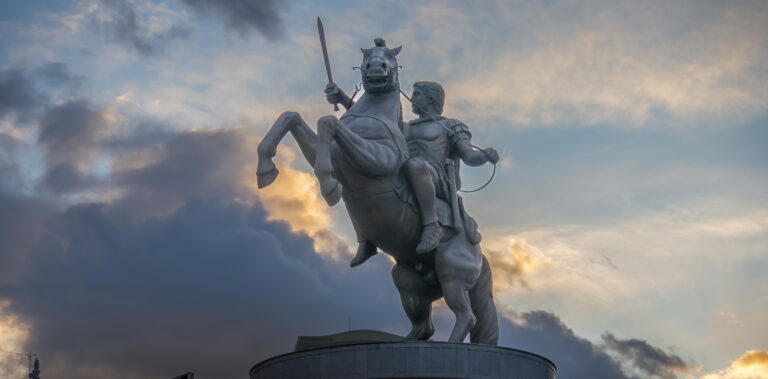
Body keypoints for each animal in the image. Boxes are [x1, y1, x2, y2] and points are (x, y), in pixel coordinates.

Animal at [256, 37, 498, 344]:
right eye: (367, 54)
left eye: (391, 57)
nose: (375, 68)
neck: (369, 116)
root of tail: (478, 251)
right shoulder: (330, 151)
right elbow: (292, 116)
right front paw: (265, 168)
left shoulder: (376, 159)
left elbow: (328, 123)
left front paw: (328, 186)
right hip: (408, 280)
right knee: (425, 326)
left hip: (452, 274)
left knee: (466, 316)